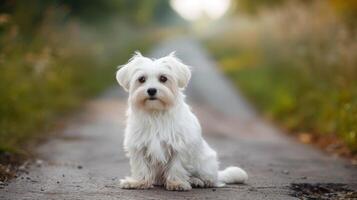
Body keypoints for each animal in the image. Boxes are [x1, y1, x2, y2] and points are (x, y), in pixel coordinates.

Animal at [115, 51, 246, 191]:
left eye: (163, 78)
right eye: (141, 79)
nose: (151, 90)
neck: (156, 113)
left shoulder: (180, 146)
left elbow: (177, 166)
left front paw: (176, 183)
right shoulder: (139, 146)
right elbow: (141, 166)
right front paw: (138, 182)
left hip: (205, 164)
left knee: (210, 179)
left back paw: (197, 181)